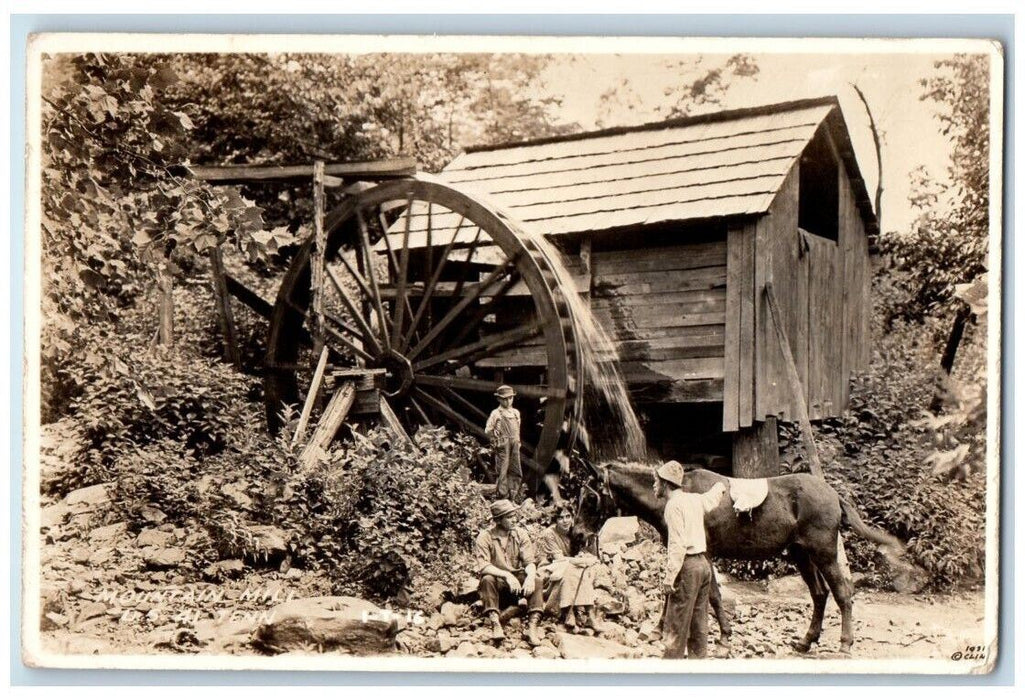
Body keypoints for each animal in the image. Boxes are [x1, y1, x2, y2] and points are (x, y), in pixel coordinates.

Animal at [569, 463, 906, 655]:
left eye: (590, 497)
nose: (575, 534)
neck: (677, 496)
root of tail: (833, 494)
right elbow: (688, 591)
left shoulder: (699, 552)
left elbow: (709, 595)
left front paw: (722, 638)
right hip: (801, 554)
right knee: (821, 595)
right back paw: (805, 642)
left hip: (823, 553)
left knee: (843, 594)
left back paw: (845, 644)